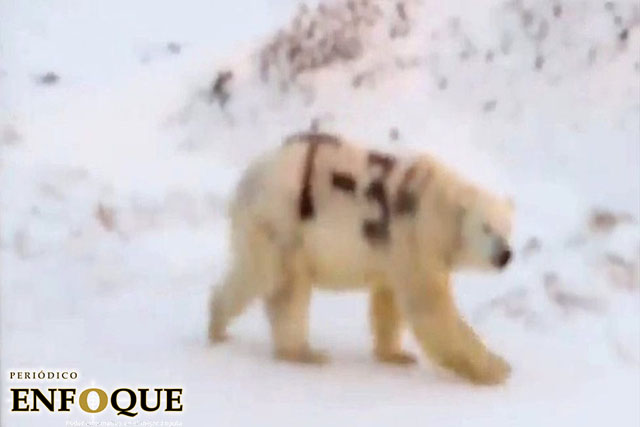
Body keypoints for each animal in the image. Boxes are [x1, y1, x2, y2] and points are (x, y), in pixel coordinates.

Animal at [208, 132, 514, 385]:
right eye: (486, 227)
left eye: (508, 228)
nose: (505, 255)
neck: (438, 205)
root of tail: (249, 176)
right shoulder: (415, 236)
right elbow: (431, 306)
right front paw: (497, 369)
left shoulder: (394, 249)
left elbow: (388, 299)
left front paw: (397, 355)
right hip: (281, 219)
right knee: (271, 278)